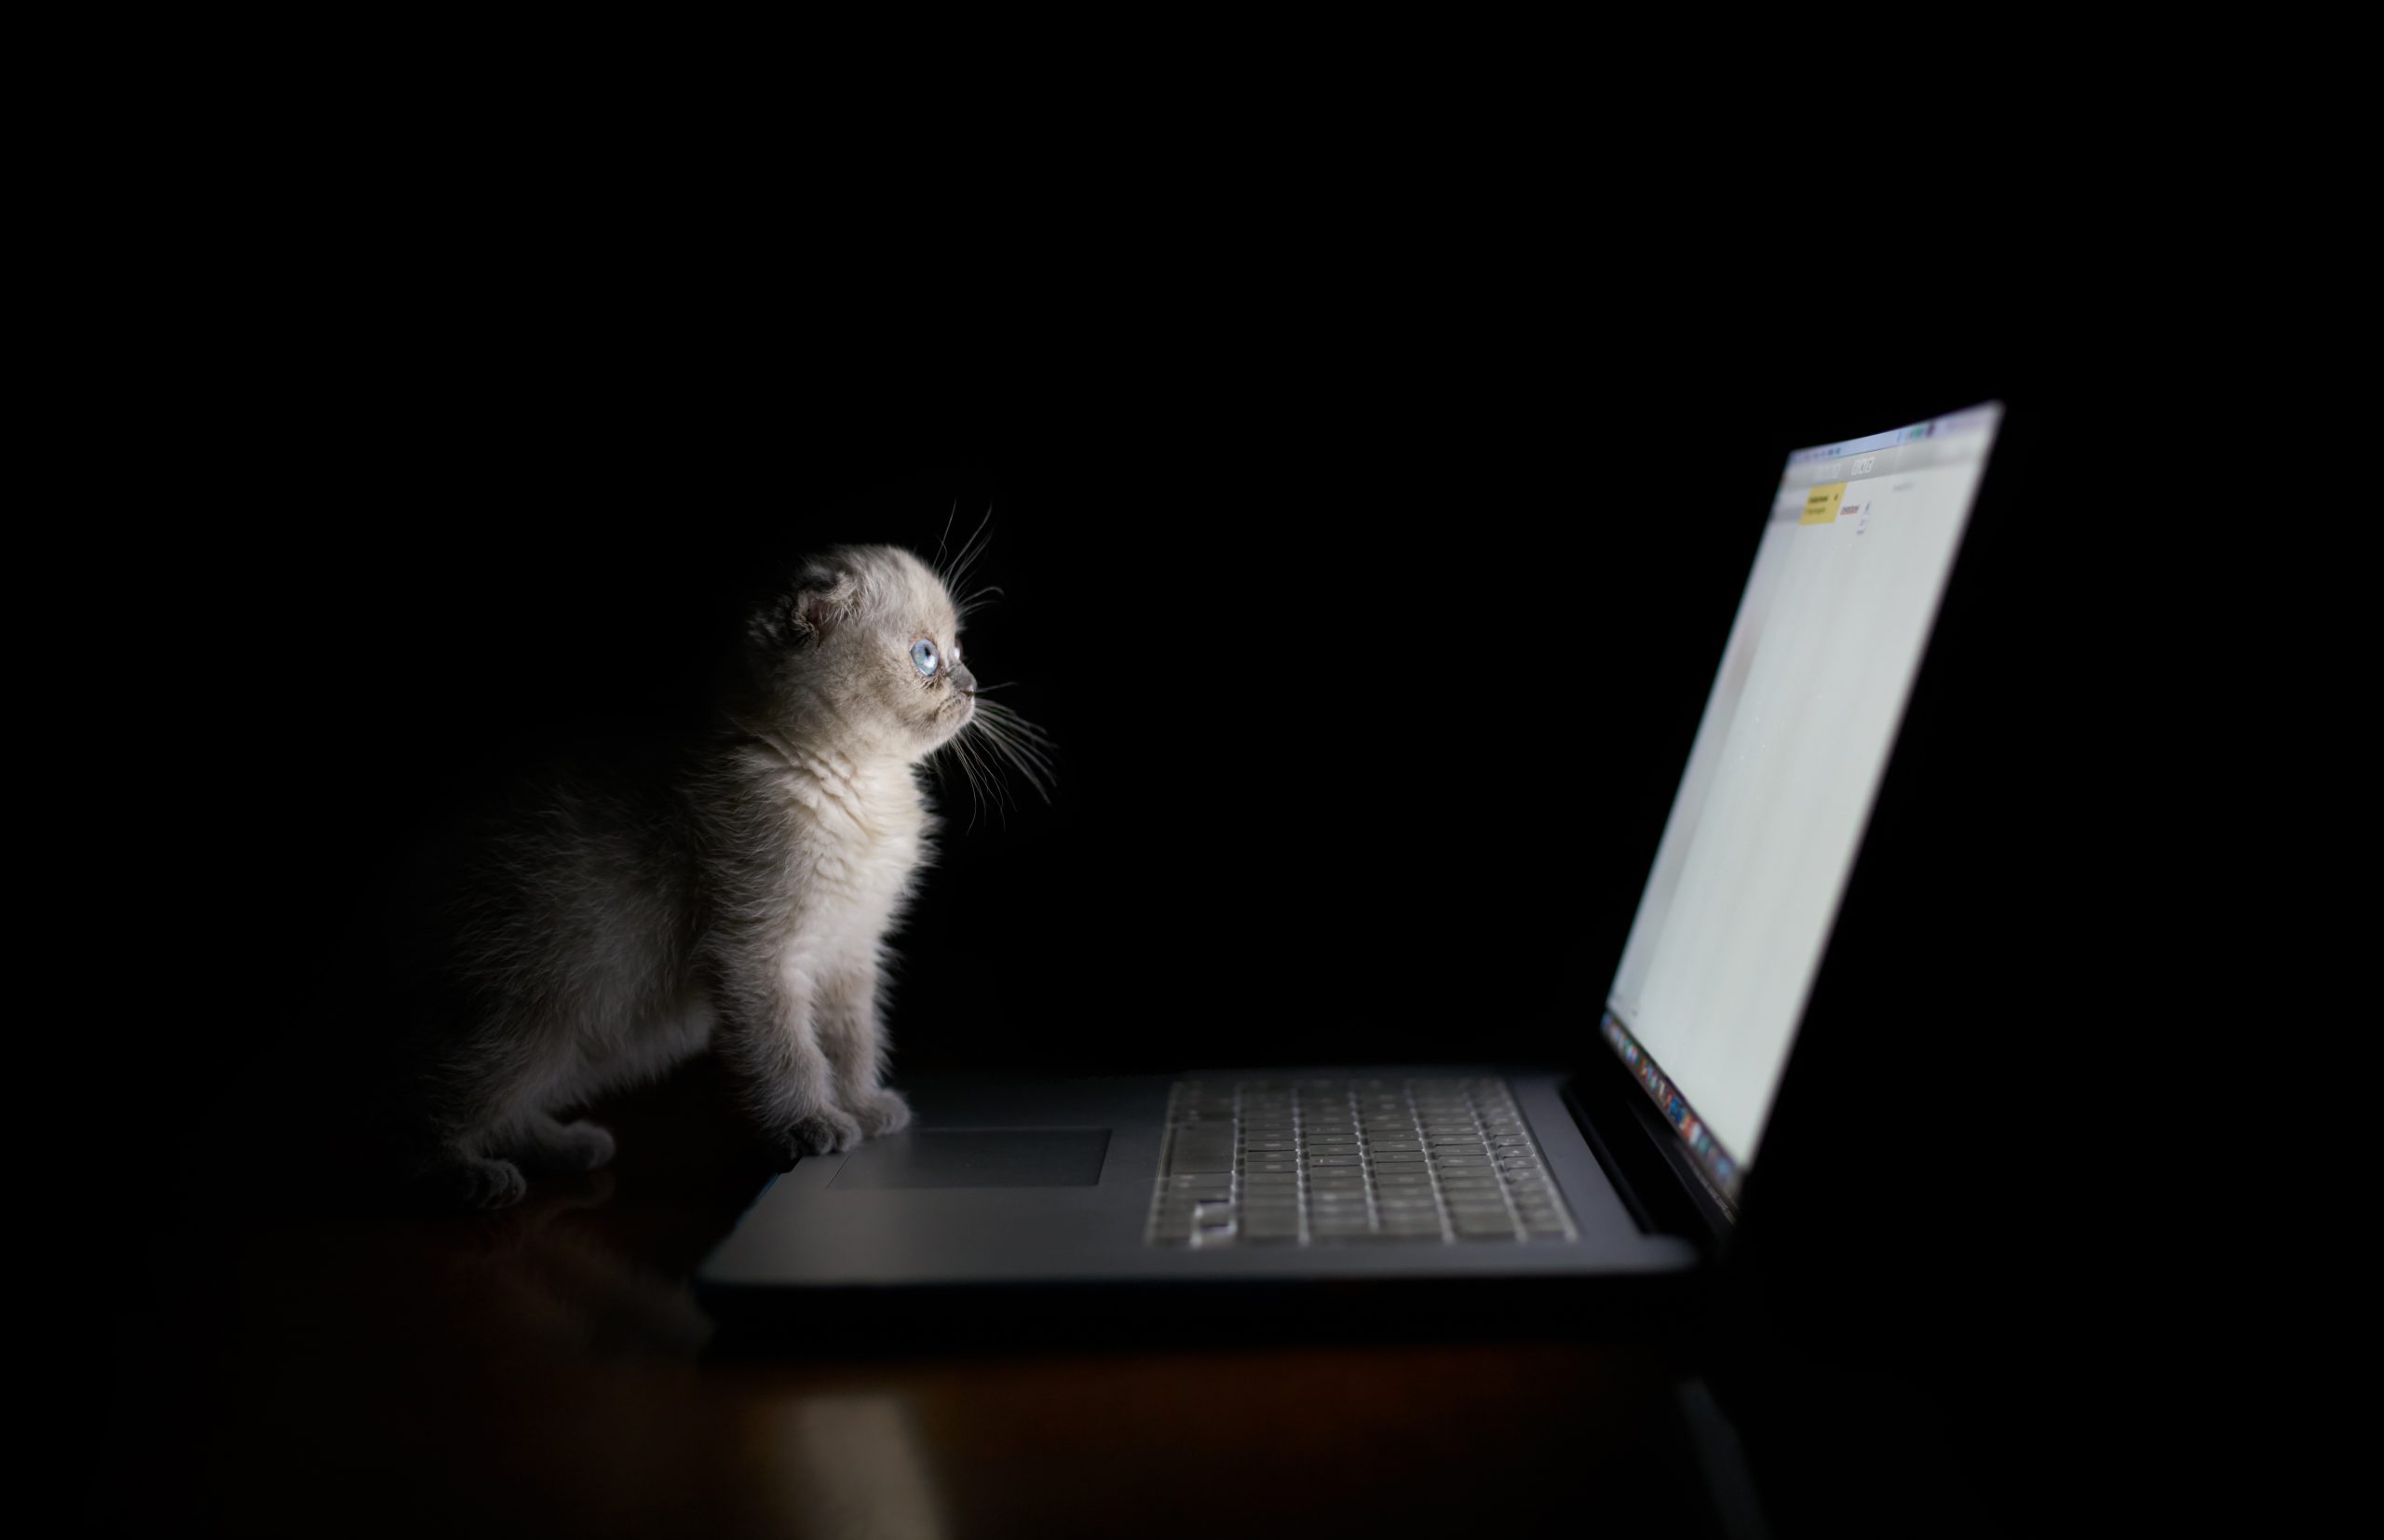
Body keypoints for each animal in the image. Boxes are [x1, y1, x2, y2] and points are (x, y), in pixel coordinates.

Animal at [395, 547, 1039, 1210]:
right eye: (926, 655)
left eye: (958, 648)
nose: (972, 684)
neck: (860, 787)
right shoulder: (757, 954)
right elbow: (792, 1054)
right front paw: (813, 1124)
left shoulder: (850, 951)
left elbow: (852, 1042)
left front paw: (863, 1107)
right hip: (533, 1015)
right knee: (427, 1098)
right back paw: (467, 1177)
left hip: (574, 1041)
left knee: (504, 1108)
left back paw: (570, 1147)